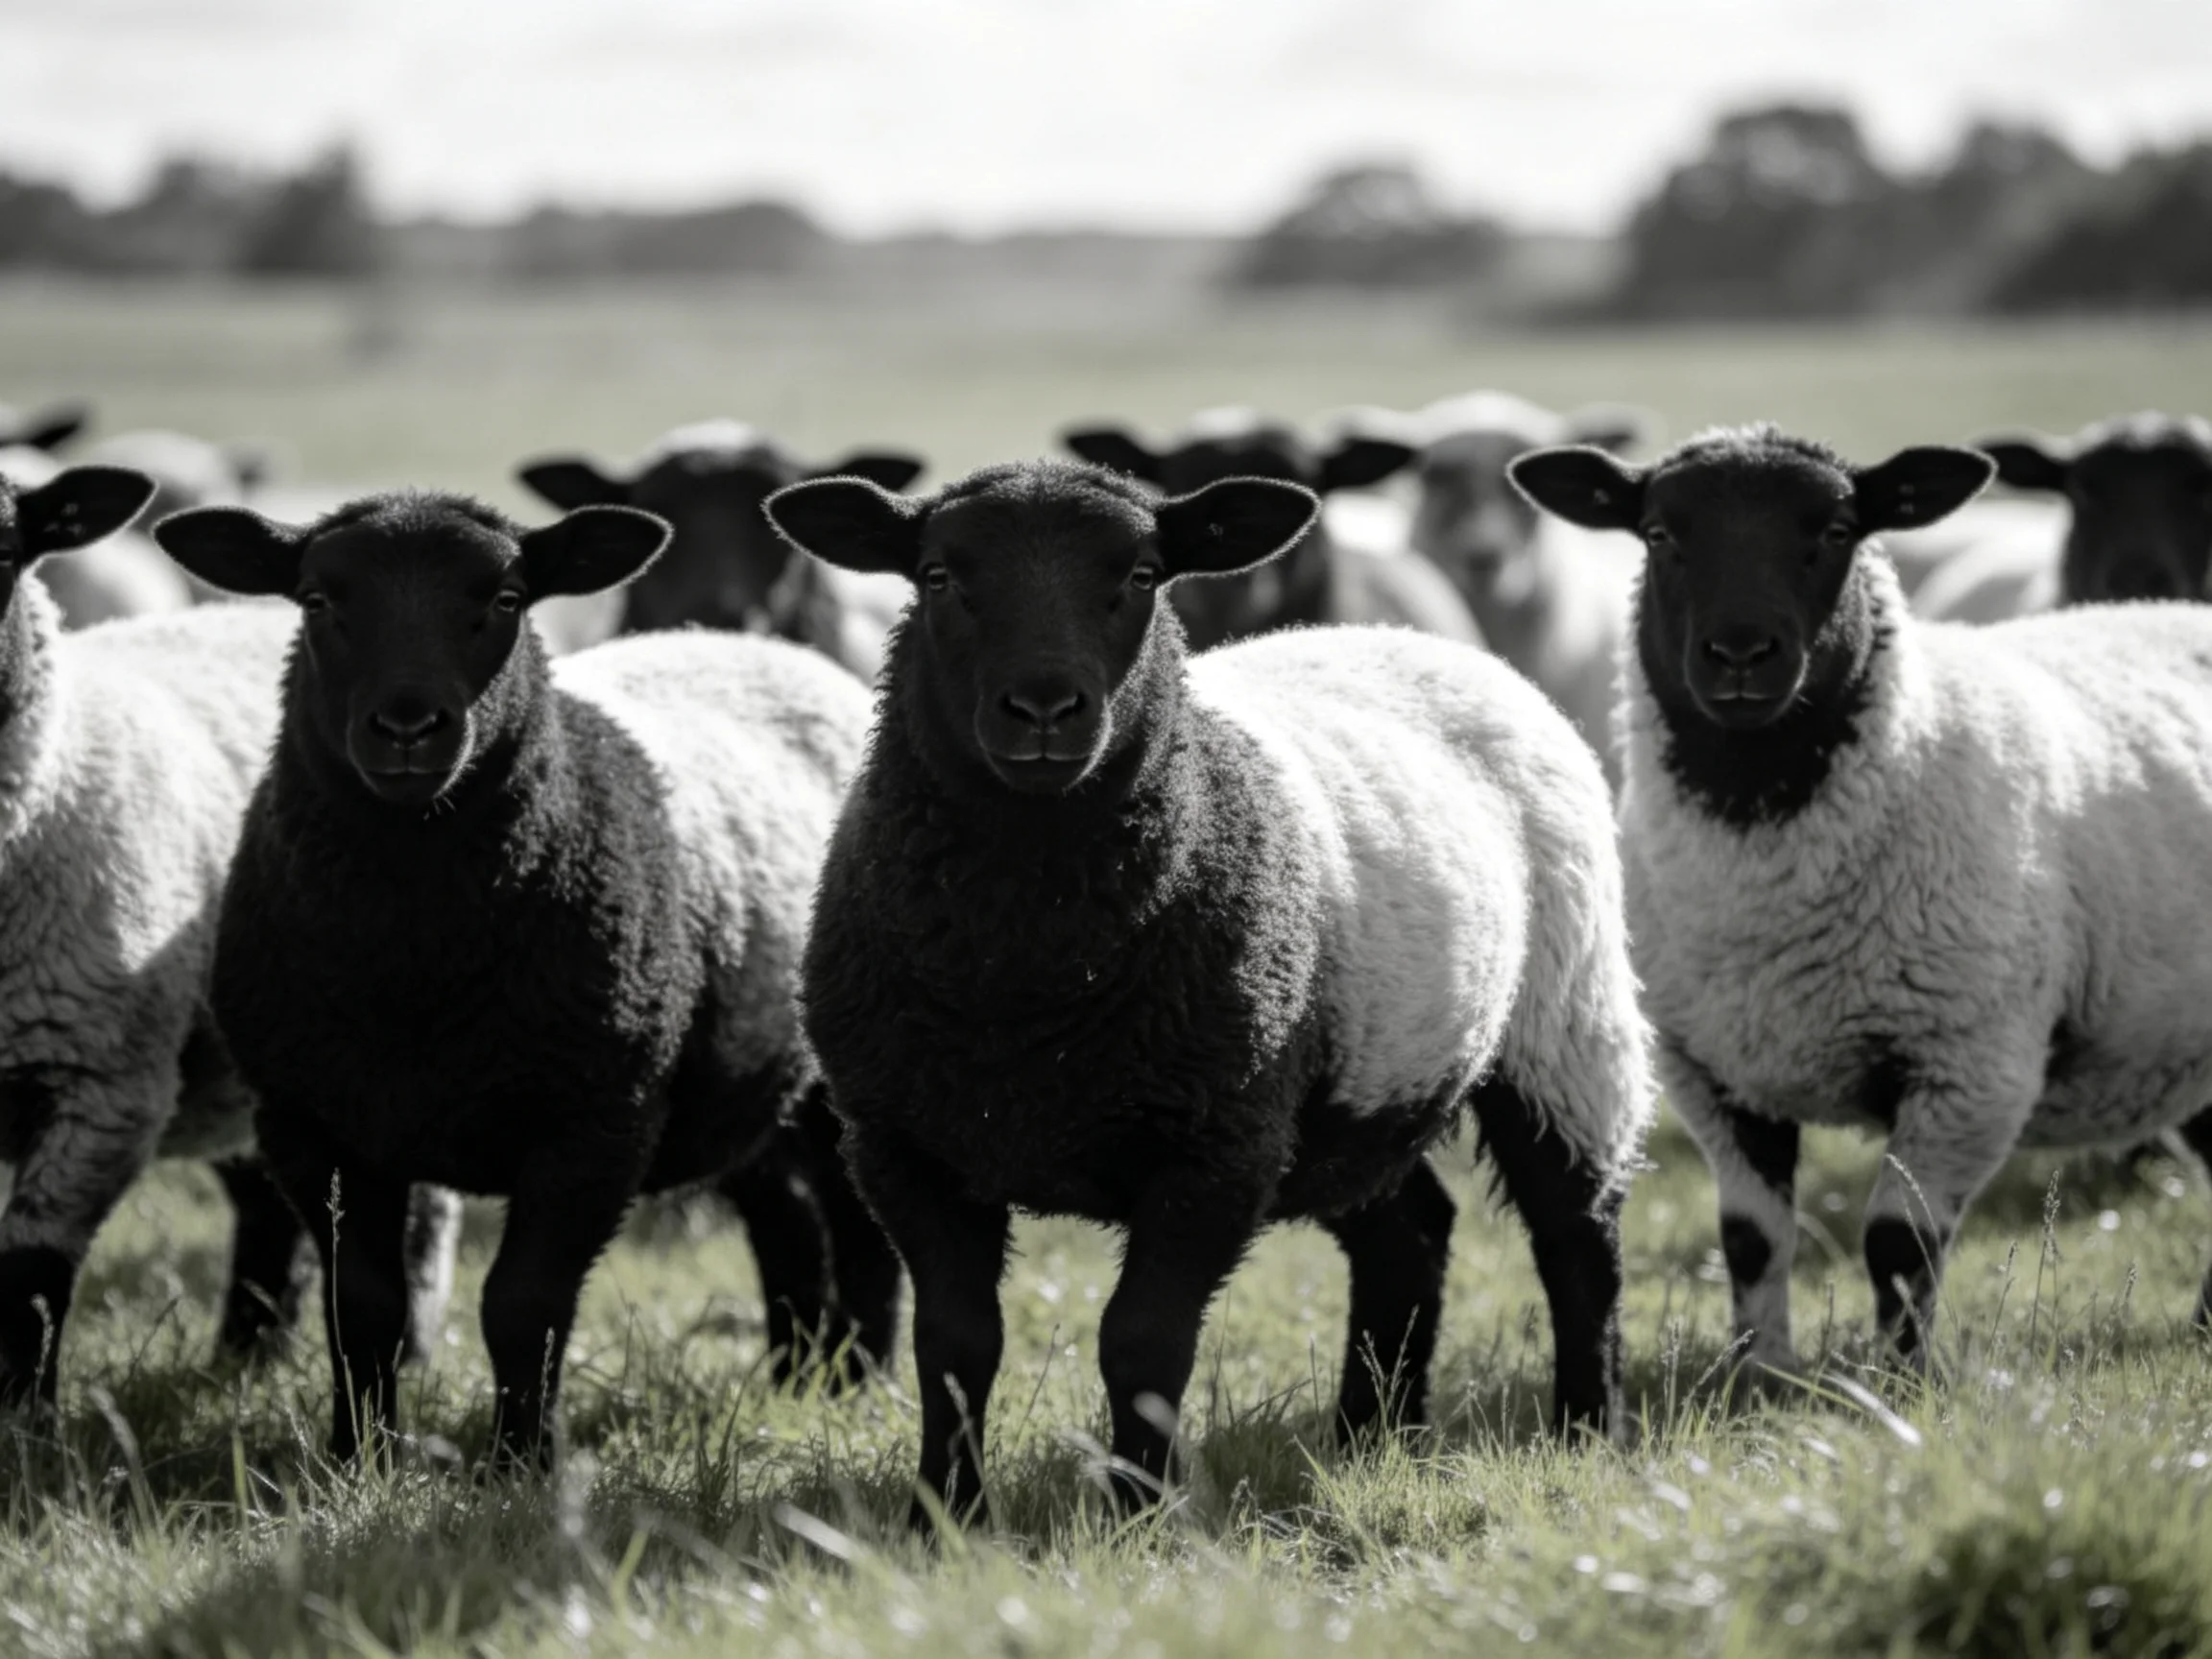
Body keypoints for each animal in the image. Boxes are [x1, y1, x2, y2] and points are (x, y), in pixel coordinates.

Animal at [0, 462, 444, 1404]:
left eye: (4, 550)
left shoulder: (103, 1084)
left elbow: (29, 1281)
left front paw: (21, 1418)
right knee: (268, 1204)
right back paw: (246, 1355)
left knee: (422, 1206)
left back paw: (413, 1349)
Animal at [152, 490, 901, 1466]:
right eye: (316, 599)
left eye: (506, 599)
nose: (408, 726)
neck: (414, 960)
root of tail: (770, 650)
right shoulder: (312, 1124)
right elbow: (362, 1309)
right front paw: (360, 1456)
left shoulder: (593, 1121)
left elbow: (523, 1307)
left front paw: (521, 1464)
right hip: (735, 1072)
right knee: (784, 1212)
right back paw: (797, 1377)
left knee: (859, 1226)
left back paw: (863, 1382)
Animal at [766, 458, 1651, 1523]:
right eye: (938, 575)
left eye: (1144, 574)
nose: (1044, 709)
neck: (1027, 986)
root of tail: (1419, 640)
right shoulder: (904, 1146)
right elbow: (954, 1347)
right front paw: (945, 1516)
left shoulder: (1213, 1148)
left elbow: (1141, 1343)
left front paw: (1137, 1518)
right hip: (1351, 1090)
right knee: (1409, 1234)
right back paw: (1370, 1440)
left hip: (1563, 1022)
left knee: (1577, 1238)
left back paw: (1585, 1431)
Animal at [1511, 422, 2212, 1376]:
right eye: (1658, 533)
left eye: (1838, 530)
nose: (1740, 654)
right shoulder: (1716, 1074)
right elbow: (1750, 1240)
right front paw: (1759, 1375)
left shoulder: (1969, 1064)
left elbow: (1896, 1247)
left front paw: (1897, 1383)